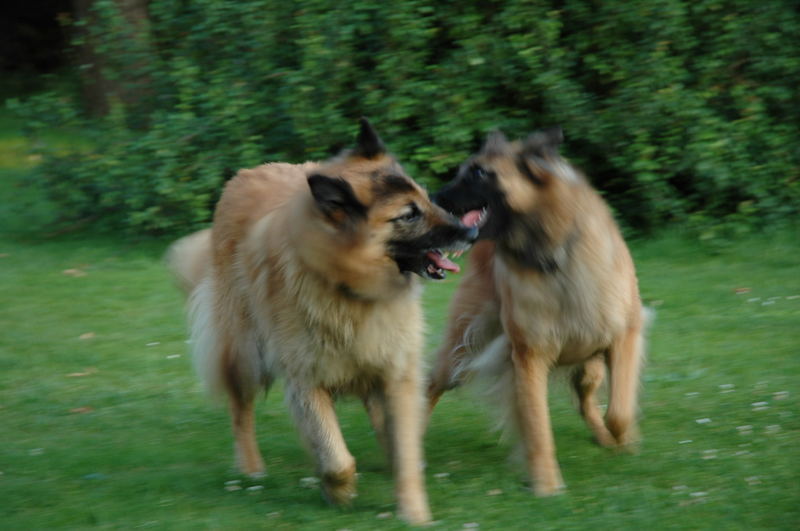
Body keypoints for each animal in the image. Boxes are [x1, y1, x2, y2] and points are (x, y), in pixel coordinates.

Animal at [164, 119, 476, 524]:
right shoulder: (307, 383)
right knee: (241, 411)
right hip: (246, 353)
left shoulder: (396, 372)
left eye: (425, 199)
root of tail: (245, 174)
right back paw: (250, 466)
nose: (472, 232)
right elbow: (336, 457)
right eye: (408, 215)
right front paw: (339, 492)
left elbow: (405, 445)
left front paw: (412, 510)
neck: (348, 287)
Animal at [428, 127, 648, 496]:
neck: (551, 255)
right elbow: (537, 427)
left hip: (589, 366)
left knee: (586, 401)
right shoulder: (529, 356)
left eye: (478, 172)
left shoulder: (623, 337)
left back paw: (605, 437)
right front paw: (546, 483)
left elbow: (619, 410)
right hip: (462, 347)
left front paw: (623, 439)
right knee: (432, 383)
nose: (432, 197)